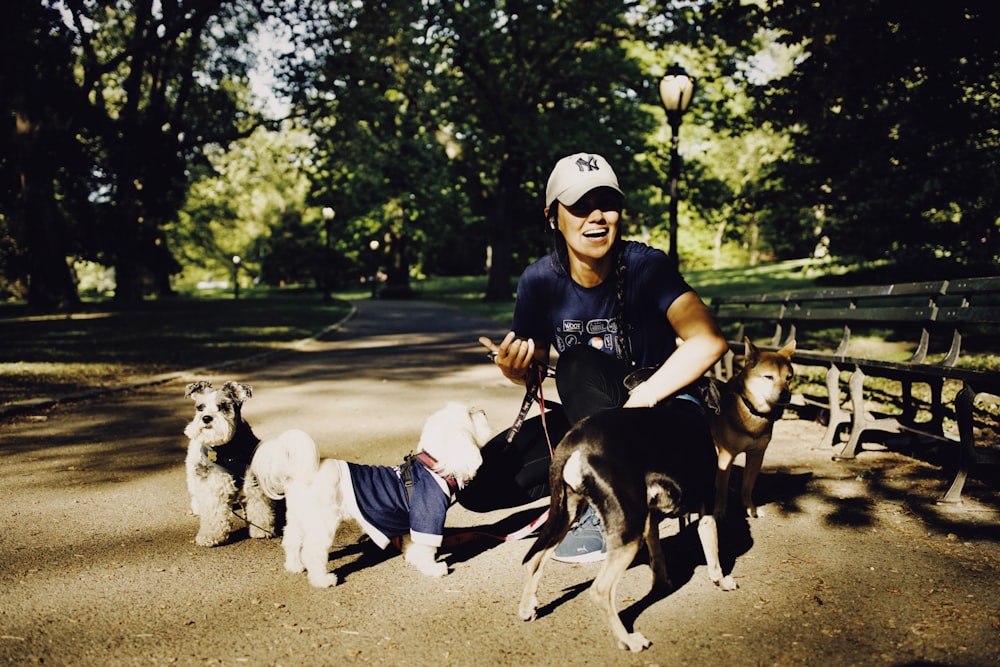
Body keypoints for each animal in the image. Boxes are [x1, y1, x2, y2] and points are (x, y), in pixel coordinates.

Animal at [184, 380, 276, 548]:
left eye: (223, 406)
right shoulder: (213, 484)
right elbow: (213, 512)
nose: (206, 418)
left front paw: (262, 529)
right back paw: (197, 507)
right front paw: (210, 536)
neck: (228, 450)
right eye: (200, 407)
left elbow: (259, 507)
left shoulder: (253, 483)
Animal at [250, 402, 492, 584]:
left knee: (290, 540)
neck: (433, 465)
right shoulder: (427, 516)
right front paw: (433, 569)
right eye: (470, 414)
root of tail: (302, 472)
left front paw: (414, 559)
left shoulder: (410, 520)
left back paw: (294, 566)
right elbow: (426, 547)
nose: (483, 410)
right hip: (322, 522)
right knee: (312, 552)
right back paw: (322, 580)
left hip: (299, 518)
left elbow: (413, 544)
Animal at [520, 396, 740, 652]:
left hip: (567, 513)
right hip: (627, 530)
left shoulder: (650, 517)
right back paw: (627, 640)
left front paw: (662, 582)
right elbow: (713, 550)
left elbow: (658, 556)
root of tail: (572, 442)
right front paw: (721, 581)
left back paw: (527, 608)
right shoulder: (706, 506)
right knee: (600, 591)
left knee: (535, 561)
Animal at [712, 336, 796, 520]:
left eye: (788, 378)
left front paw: (750, 508)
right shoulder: (726, 455)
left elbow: (747, 486)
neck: (753, 411)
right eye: (769, 377)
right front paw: (719, 511)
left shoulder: (756, 455)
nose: (786, 394)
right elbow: (721, 488)